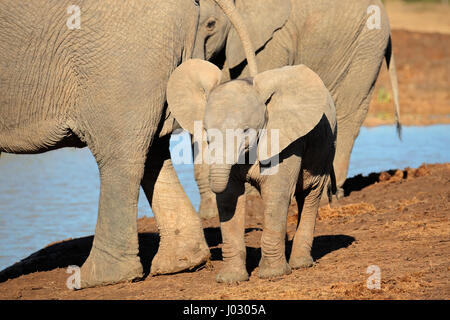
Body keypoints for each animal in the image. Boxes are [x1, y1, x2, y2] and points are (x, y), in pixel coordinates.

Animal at [167, 58, 336, 282]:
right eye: (205, 131)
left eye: (246, 131)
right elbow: (229, 197)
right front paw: (230, 280)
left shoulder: (286, 142)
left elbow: (276, 193)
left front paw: (272, 275)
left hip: (325, 150)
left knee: (310, 194)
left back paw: (300, 264)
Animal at [192, 0, 400, 219]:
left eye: (211, 25)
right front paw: (208, 214)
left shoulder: (271, 43)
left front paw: (249, 198)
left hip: (367, 46)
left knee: (349, 114)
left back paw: (330, 197)